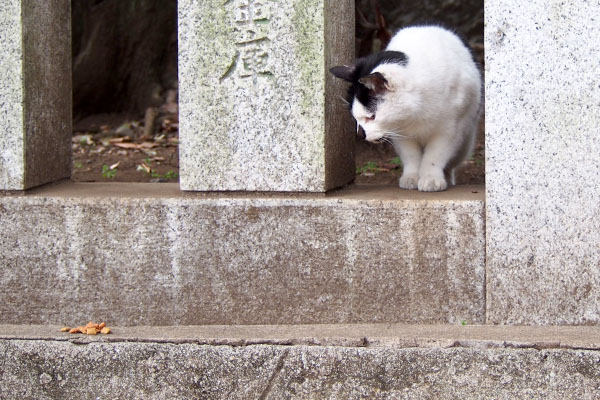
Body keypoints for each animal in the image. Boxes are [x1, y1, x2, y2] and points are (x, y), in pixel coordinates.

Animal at [330, 25, 480, 192]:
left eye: (371, 116)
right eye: (355, 118)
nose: (360, 134)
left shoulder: (448, 131)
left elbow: (434, 156)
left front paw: (431, 178)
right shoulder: (401, 134)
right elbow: (411, 157)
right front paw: (411, 178)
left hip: (464, 142)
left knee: (451, 164)